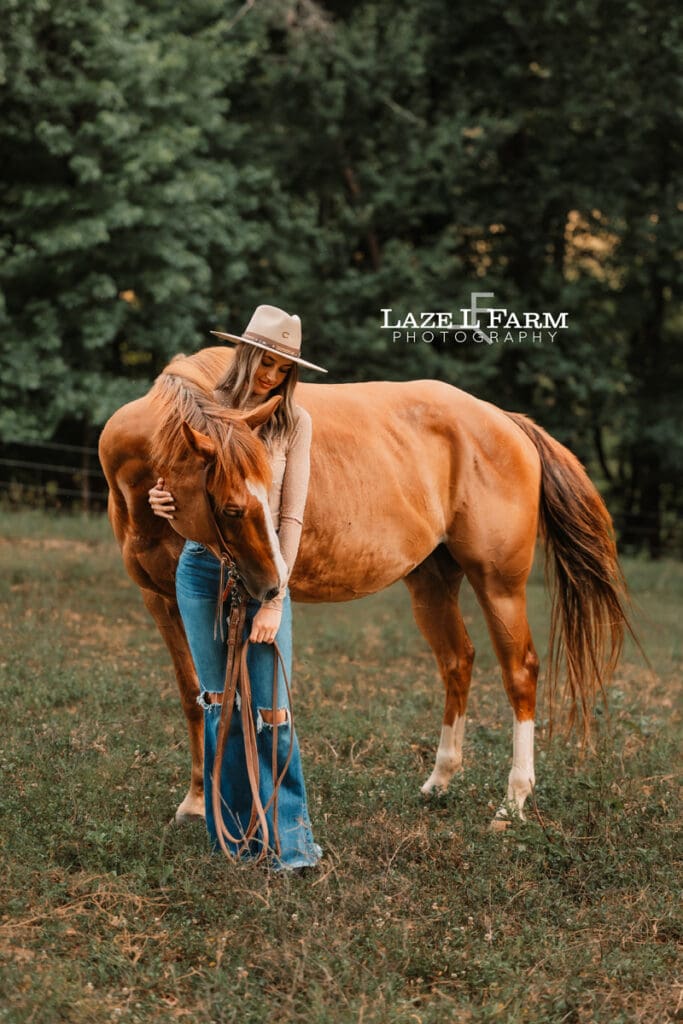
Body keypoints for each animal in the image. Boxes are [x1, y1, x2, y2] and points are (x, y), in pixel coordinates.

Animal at [98, 346, 630, 828]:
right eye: (231, 508)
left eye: (270, 491)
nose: (272, 586)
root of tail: (505, 421)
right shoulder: (162, 601)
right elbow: (197, 696)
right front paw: (196, 802)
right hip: (431, 583)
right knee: (457, 661)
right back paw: (439, 780)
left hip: (498, 586)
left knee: (519, 671)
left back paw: (513, 801)